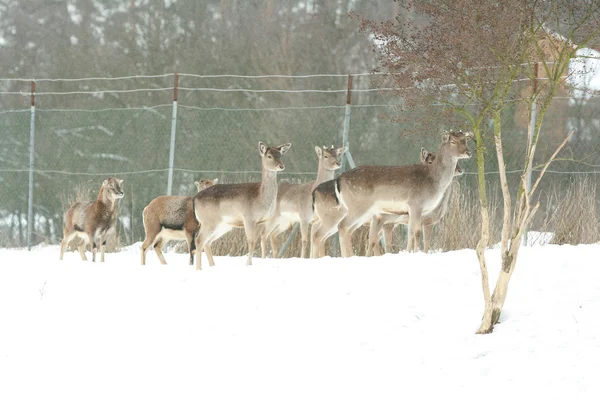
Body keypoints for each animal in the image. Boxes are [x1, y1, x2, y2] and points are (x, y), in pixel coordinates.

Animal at [193, 142, 292, 270]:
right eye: (269, 156)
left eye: (280, 155)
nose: (281, 166)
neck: (261, 197)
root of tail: (195, 199)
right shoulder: (249, 217)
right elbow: (251, 241)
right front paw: (248, 264)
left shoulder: (262, 221)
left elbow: (259, 241)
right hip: (208, 221)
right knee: (199, 240)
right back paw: (199, 269)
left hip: (222, 225)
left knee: (208, 242)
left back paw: (212, 266)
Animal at [336, 130, 472, 258]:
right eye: (452, 141)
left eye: (465, 141)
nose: (468, 152)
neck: (433, 182)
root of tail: (340, 180)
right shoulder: (416, 204)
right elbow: (416, 232)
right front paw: (415, 252)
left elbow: (411, 232)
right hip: (360, 206)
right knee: (343, 226)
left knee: (351, 231)